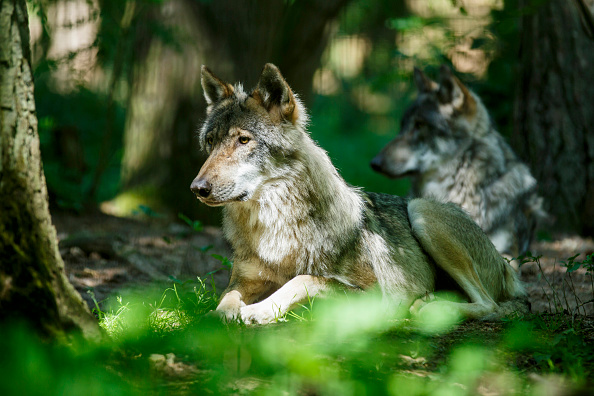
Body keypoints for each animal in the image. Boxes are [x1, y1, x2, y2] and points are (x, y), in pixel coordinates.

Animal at [191, 62, 524, 324]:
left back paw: (428, 307)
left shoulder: (373, 295)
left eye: (244, 140)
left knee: (490, 304)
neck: (277, 225)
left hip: (422, 211)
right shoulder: (245, 279)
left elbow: (306, 279)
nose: (197, 188)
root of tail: (507, 268)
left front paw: (259, 310)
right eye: (211, 141)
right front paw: (214, 317)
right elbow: (227, 296)